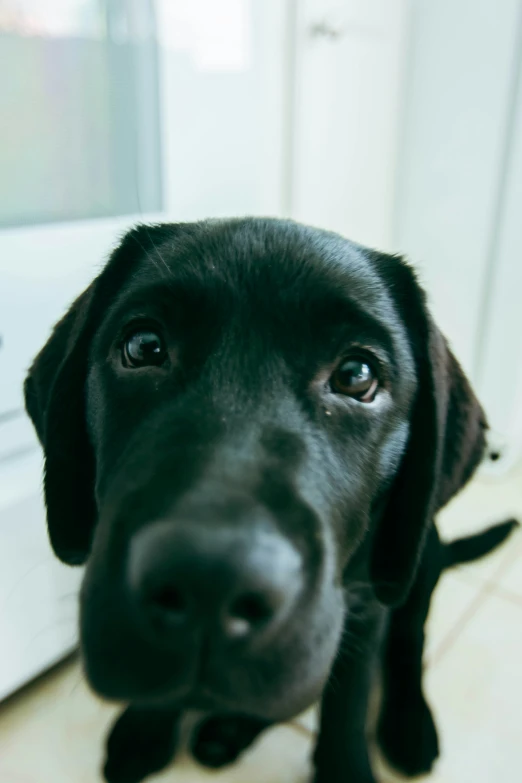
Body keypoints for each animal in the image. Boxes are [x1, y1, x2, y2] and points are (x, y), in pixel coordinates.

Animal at [24, 216, 516, 783]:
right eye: (144, 346)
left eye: (357, 376)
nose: (209, 580)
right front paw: (145, 727)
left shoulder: (365, 608)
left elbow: (347, 703)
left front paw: (346, 767)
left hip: (419, 562)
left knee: (408, 646)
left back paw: (409, 725)